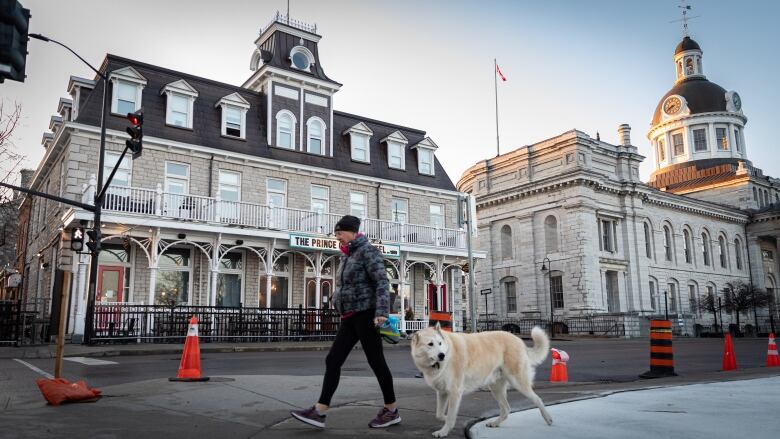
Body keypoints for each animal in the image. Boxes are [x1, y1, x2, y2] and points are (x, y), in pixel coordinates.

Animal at [412, 324, 552, 438]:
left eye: (440, 343)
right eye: (430, 344)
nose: (442, 355)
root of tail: (519, 340)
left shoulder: (455, 392)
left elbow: (451, 416)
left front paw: (444, 431)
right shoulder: (442, 393)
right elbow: (439, 414)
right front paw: (445, 419)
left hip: (518, 382)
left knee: (537, 399)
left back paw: (548, 419)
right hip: (496, 389)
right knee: (506, 409)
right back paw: (495, 423)